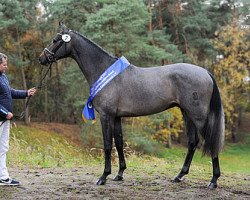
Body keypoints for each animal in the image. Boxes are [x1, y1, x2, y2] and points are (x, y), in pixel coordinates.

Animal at [38, 23, 225, 189]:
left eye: (55, 40)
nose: (41, 58)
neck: (104, 71)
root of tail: (205, 72)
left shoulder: (106, 116)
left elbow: (107, 145)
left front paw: (103, 177)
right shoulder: (117, 117)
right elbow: (119, 143)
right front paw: (119, 174)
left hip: (198, 116)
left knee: (211, 142)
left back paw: (213, 181)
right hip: (187, 114)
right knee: (193, 143)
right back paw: (179, 176)